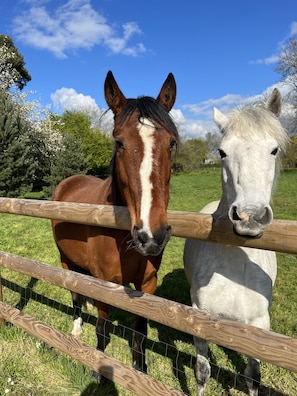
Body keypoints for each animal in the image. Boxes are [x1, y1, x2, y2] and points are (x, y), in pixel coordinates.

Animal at [51, 69, 178, 378]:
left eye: (171, 142)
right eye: (119, 142)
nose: (151, 235)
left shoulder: (147, 284)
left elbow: (140, 335)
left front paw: (141, 372)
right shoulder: (104, 284)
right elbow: (103, 328)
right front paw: (98, 369)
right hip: (64, 260)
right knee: (74, 293)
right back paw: (76, 329)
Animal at [182, 89, 288, 396]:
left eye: (274, 150)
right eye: (222, 152)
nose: (249, 216)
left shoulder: (258, 325)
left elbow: (253, 375)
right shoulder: (200, 317)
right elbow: (202, 371)